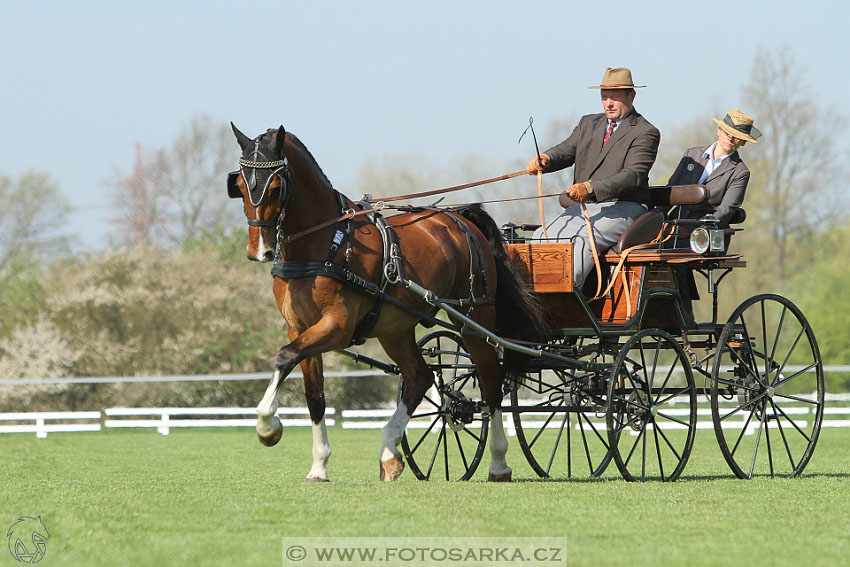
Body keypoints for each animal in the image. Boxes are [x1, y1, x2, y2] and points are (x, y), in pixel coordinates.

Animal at [225, 124, 544, 484]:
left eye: (276, 186)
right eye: (239, 185)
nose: (259, 251)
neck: (325, 244)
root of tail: (461, 219)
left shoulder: (337, 326)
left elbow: (283, 357)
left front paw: (268, 427)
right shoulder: (299, 327)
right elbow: (314, 396)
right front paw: (319, 466)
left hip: (475, 318)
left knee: (491, 385)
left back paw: (499, 462)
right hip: (395, 329)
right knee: (420, 377)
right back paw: (390, 453)